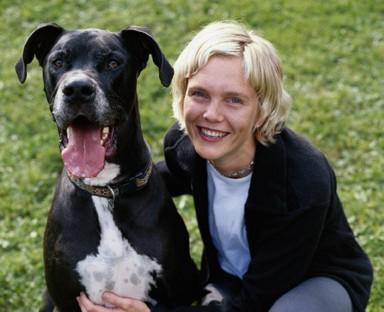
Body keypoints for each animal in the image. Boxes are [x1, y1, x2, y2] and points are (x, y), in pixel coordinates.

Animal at [15, 23, 198, 310]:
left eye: (113, 62)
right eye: (58, 61)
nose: (77, 89)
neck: (106, 190)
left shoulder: (179, 294)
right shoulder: (65, 299)